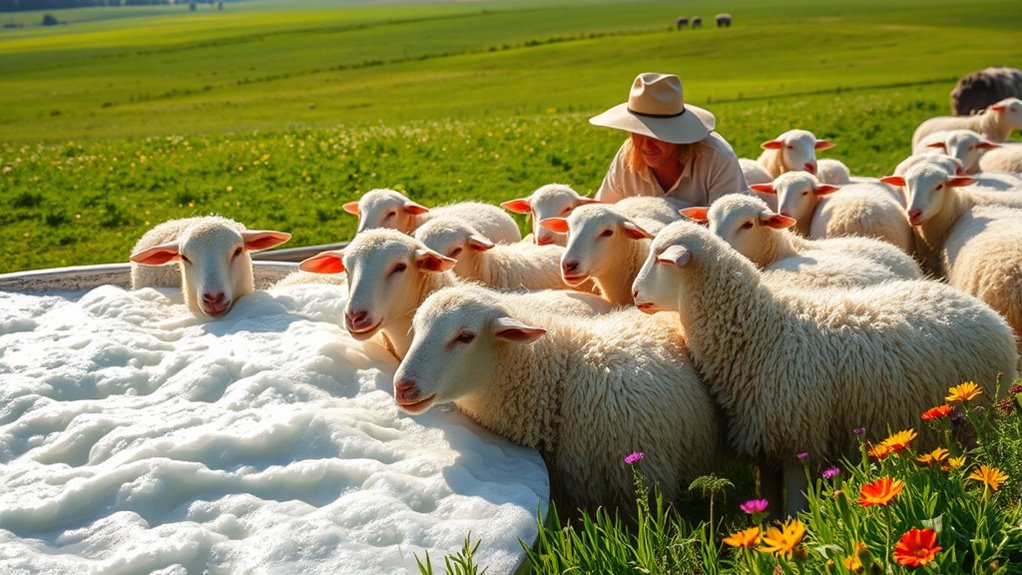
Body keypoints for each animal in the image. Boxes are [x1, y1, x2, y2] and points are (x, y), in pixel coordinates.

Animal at [630, 218, 1018, 516]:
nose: (633, 294)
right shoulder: (767, 447)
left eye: (661, 260)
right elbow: (769, 507)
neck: (762, 332)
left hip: (975, 422)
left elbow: (794, 509)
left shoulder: (798, 440)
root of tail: (988, 314)